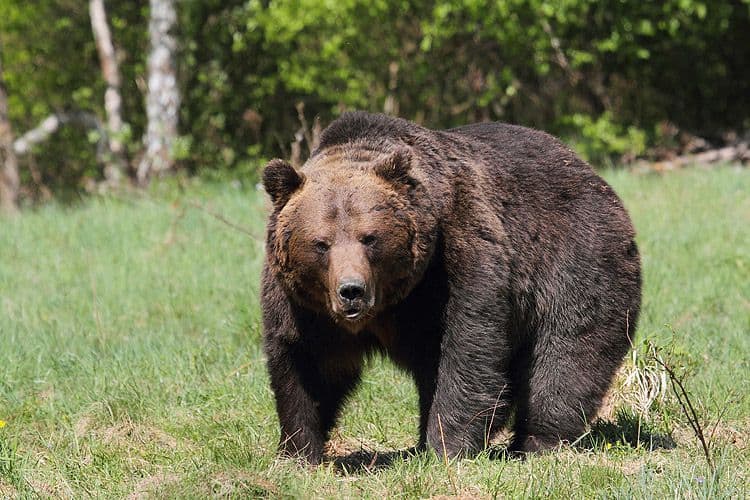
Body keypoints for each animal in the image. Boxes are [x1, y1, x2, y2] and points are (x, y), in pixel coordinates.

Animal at [262, 111, 644, 462]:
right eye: (321, 243)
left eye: (369, 238)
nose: (351, 291)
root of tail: (591, 173)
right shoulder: (303, 305)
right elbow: (305, 364)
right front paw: (299, 451)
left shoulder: (456, 257)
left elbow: (467, 347)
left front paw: (446, 447)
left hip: (577, 259)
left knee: (566, 356)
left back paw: (536, 442)